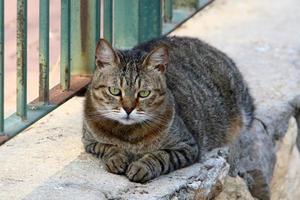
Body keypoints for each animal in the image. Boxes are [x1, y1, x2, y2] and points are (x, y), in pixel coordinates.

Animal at [81, 36, 253, 183]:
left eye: (144, 93)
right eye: (115, 91)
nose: (128, 109)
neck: (128, 135)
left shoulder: (187, 146)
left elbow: (160, 156)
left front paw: (141, 166)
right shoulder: (90, 141)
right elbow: (108, 147)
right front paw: (116, 158)